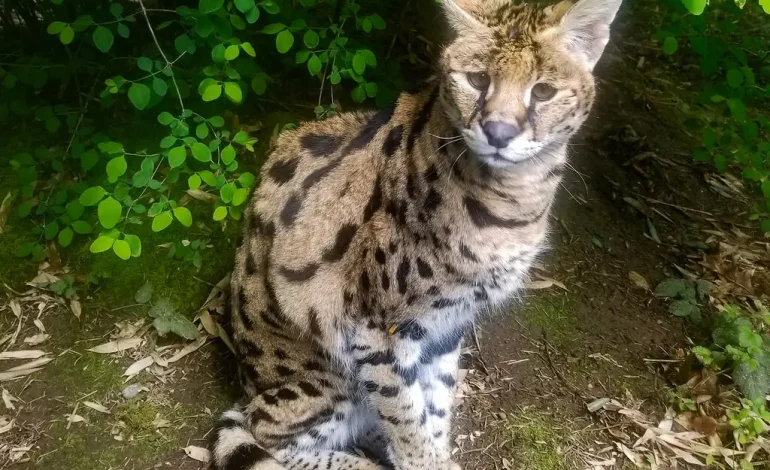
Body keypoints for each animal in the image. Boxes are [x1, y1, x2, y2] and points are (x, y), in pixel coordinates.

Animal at [210, 0, 616, 468]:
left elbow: (435, 402)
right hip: (328, 375)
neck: (516, 196)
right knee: (266, 430)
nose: (499, 132)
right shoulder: (377, 329)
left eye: (544, 91)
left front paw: (438, 455)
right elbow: (405, 414)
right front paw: (420, 458)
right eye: (478, 80)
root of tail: (246, 381)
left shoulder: (446, 323)